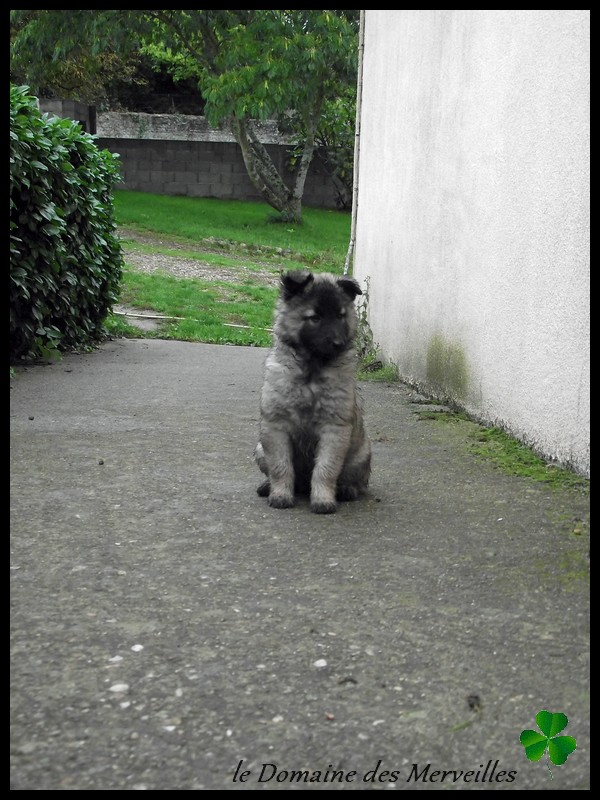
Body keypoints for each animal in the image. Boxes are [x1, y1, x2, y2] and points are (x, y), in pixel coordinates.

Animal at [256, 272, 372, 516]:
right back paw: (267, 486)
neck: (311, 371)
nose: (338, 343)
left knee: (355, 480)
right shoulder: (275, 427)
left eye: (340, 316)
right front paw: (280, 495)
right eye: (315, 317)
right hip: (260, 448)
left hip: (360, 454)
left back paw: (346, 490)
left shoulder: (334, 429)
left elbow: (325, 469)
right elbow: (280, 467)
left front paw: (323, 500)